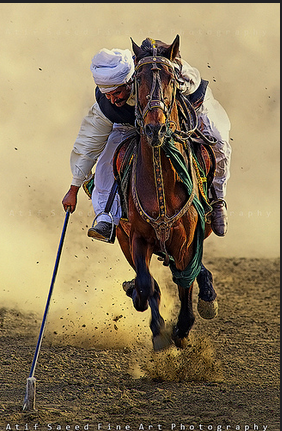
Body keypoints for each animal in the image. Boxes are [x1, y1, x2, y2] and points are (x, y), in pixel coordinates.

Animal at [113, 34, 218, 352]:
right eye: (138, 79)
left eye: (172, 79)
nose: (155, 128)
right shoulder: (136, 237)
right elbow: (146, 283)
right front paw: (159, 331)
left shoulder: (186, 244)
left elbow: (184, 281)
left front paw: (182, 328)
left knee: (191, 273)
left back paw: (207, 295)